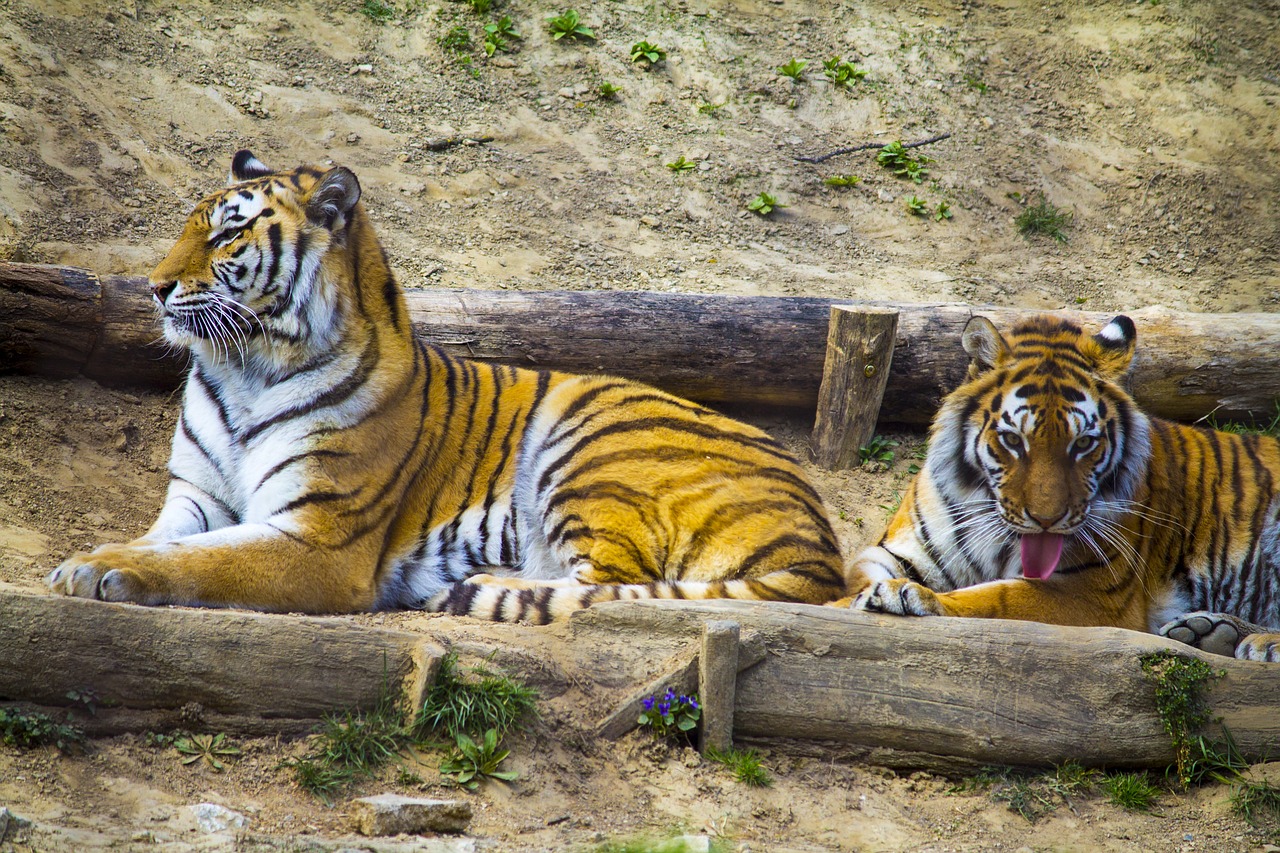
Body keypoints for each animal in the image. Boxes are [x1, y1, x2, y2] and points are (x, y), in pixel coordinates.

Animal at [45, 149, 844, 622]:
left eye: (227, 235)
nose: (153, 288)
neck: (246, 369)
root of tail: (820, 545)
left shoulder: (319, 539)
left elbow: (203, 560)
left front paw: (97, 568)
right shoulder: (197, 497)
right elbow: (164, 541)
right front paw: (94, 559)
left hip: (588, 435)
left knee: (605, 582)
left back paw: (484, 588)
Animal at [844, 311, 1280, 655]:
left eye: (1083, 443)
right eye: (1013, 440)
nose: (1047, 521)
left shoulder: (1095, 594)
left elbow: (997, 597)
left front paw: (908, 598)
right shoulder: (900, 552)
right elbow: (859, 575)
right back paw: (1209, 632)